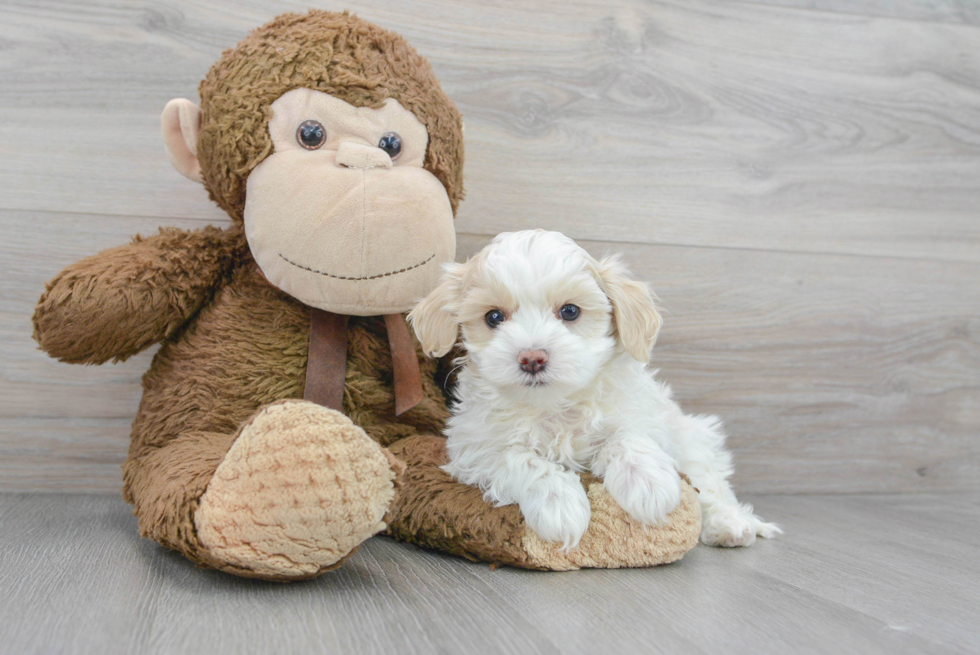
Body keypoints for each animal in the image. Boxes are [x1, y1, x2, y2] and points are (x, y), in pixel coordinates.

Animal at [408, 231, 780, 548]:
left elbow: (629, 436)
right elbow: (521, 460)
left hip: (691, 436)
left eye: (570, 311)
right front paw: (559, 504)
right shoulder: (476, 449)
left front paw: (648, 483)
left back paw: (731, 524)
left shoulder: (641, 414)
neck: (554, 405)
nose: (532, 358)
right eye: (494, 317)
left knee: (711, 483)